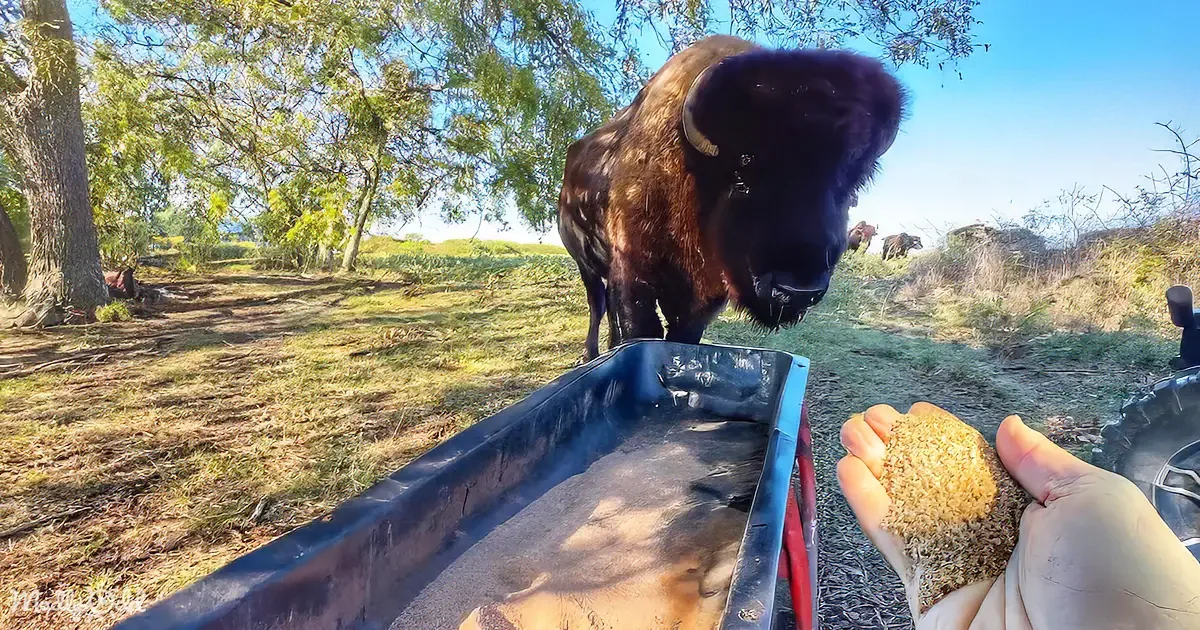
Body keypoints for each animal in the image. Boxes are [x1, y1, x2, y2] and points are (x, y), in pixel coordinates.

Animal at [558, 35, 905, 359]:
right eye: (741, 175)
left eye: (851, 183)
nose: (797, 291)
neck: (694, 175)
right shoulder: (633, 276)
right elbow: (638, 328)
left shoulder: (703, 300)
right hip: (586, 265)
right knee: (597, 304)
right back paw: (589, 354)